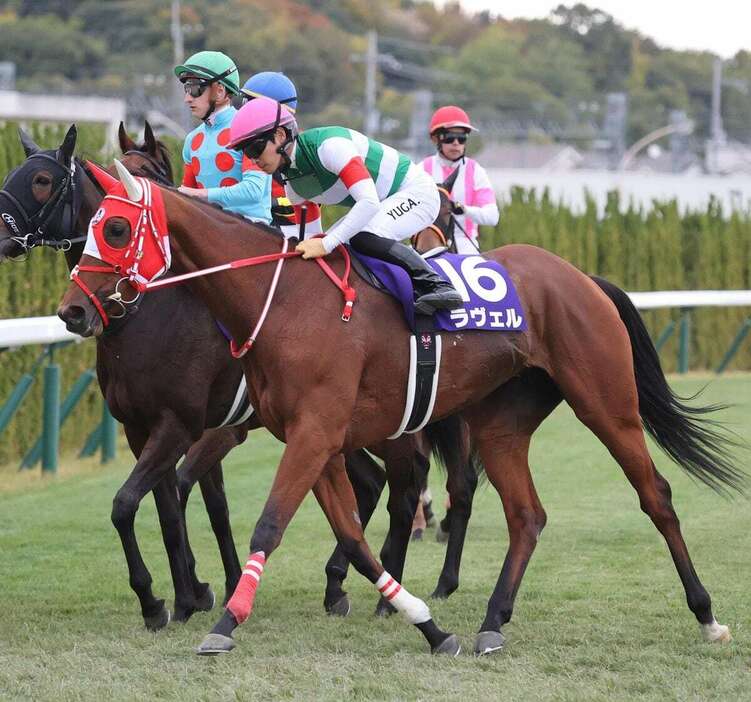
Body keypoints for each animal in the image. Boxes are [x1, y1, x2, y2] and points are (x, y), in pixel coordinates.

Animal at [57, 162, 740, 656]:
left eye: (115, 230)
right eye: (91, 228)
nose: (73, 311)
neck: (281, 303)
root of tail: (583, 278)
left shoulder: (310, 433)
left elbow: (270, 525)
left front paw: (224, 623)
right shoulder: (317, 439)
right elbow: (353, 540)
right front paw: (429, 626)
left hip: (606, 403)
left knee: (656, 496)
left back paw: (707, 616)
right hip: (500, 425)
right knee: (526, 515)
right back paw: (492, 622)